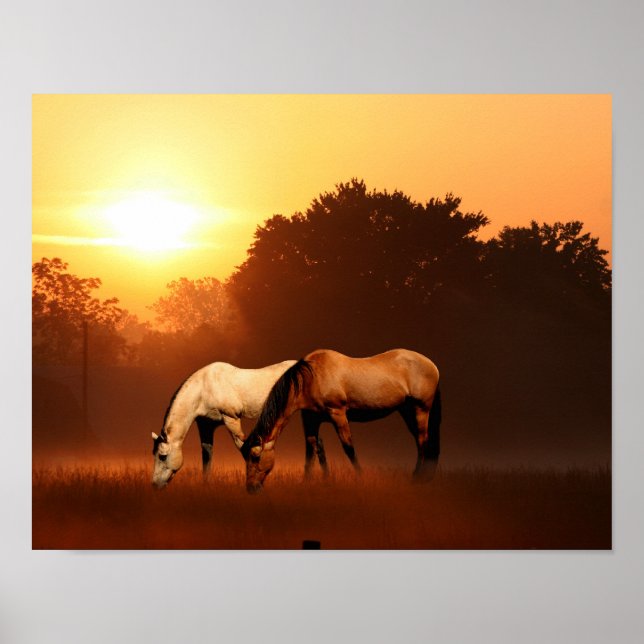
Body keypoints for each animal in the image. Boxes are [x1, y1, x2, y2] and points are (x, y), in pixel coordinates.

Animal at [151, 360, 328, 488]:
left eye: (162, 456)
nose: (154, 485)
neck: (204, 388)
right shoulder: (206, 425)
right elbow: (207, 455)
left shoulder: (231, 419)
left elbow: (243, 447)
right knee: (316, 442)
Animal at [241, 348, 441, 493]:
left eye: (255, 456)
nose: (251, 488)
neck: (312, 377)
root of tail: (431, 364)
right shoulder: (310, 419)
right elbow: (312, 450)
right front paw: (309, 481)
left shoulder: (338, 413)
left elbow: (348, 447)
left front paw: (360, 477)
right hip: (406, 410)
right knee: (419, 439)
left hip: (421, 409)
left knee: (423, 440)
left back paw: (417, 477)